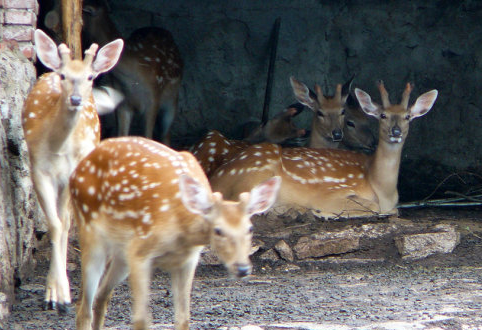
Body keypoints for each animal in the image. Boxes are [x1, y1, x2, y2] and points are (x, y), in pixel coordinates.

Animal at [23, 29, 124, 310]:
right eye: (64, 76)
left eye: (90, 77)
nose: (76, 99)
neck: (57, 148)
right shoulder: (38, 170)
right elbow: (55, 225)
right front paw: (56, 295)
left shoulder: (70, 173)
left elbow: (64, 224)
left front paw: (62, 294)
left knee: (69, 221)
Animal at [70, 136, 282, 330]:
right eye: (218, 230)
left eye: (250, 228)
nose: (242, 268)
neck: (181, 231)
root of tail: (76, 171)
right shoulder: (140, 250)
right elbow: (141, 319)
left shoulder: (188, 260)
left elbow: (183, 318)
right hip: (90, 232)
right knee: (84, 308)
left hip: (120, 253)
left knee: (101, 296)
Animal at [81, 0, 183, 143]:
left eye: (83, 10)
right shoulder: (123, 103)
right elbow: (121, 135)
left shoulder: (154, 97)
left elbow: (148, 136)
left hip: (172, 99)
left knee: (166, 134)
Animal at [209, 81, 438, 218]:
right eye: (382, 115)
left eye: (408, 116)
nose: (395, 131)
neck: (382, 189)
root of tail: (215, 178)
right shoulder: (330, 192)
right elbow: (373, 207)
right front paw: (321, 212)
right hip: (254, 174)